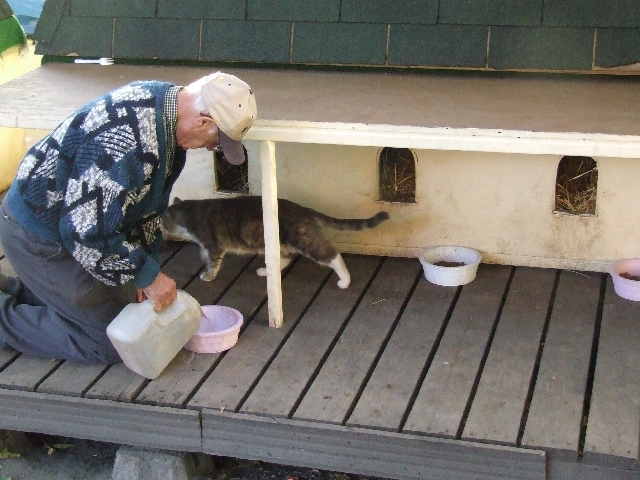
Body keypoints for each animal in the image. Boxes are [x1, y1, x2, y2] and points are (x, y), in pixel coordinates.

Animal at [161, 196, 389, 289]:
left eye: (163, 221)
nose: (161, 228)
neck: (190, 212)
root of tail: (301, 209)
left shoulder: (213, 245)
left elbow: (213, 263)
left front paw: (208, 276)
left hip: (303, 239)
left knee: (332, 255)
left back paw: (345, 281)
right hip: (277, 242)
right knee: (285, 258)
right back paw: (266, 270)